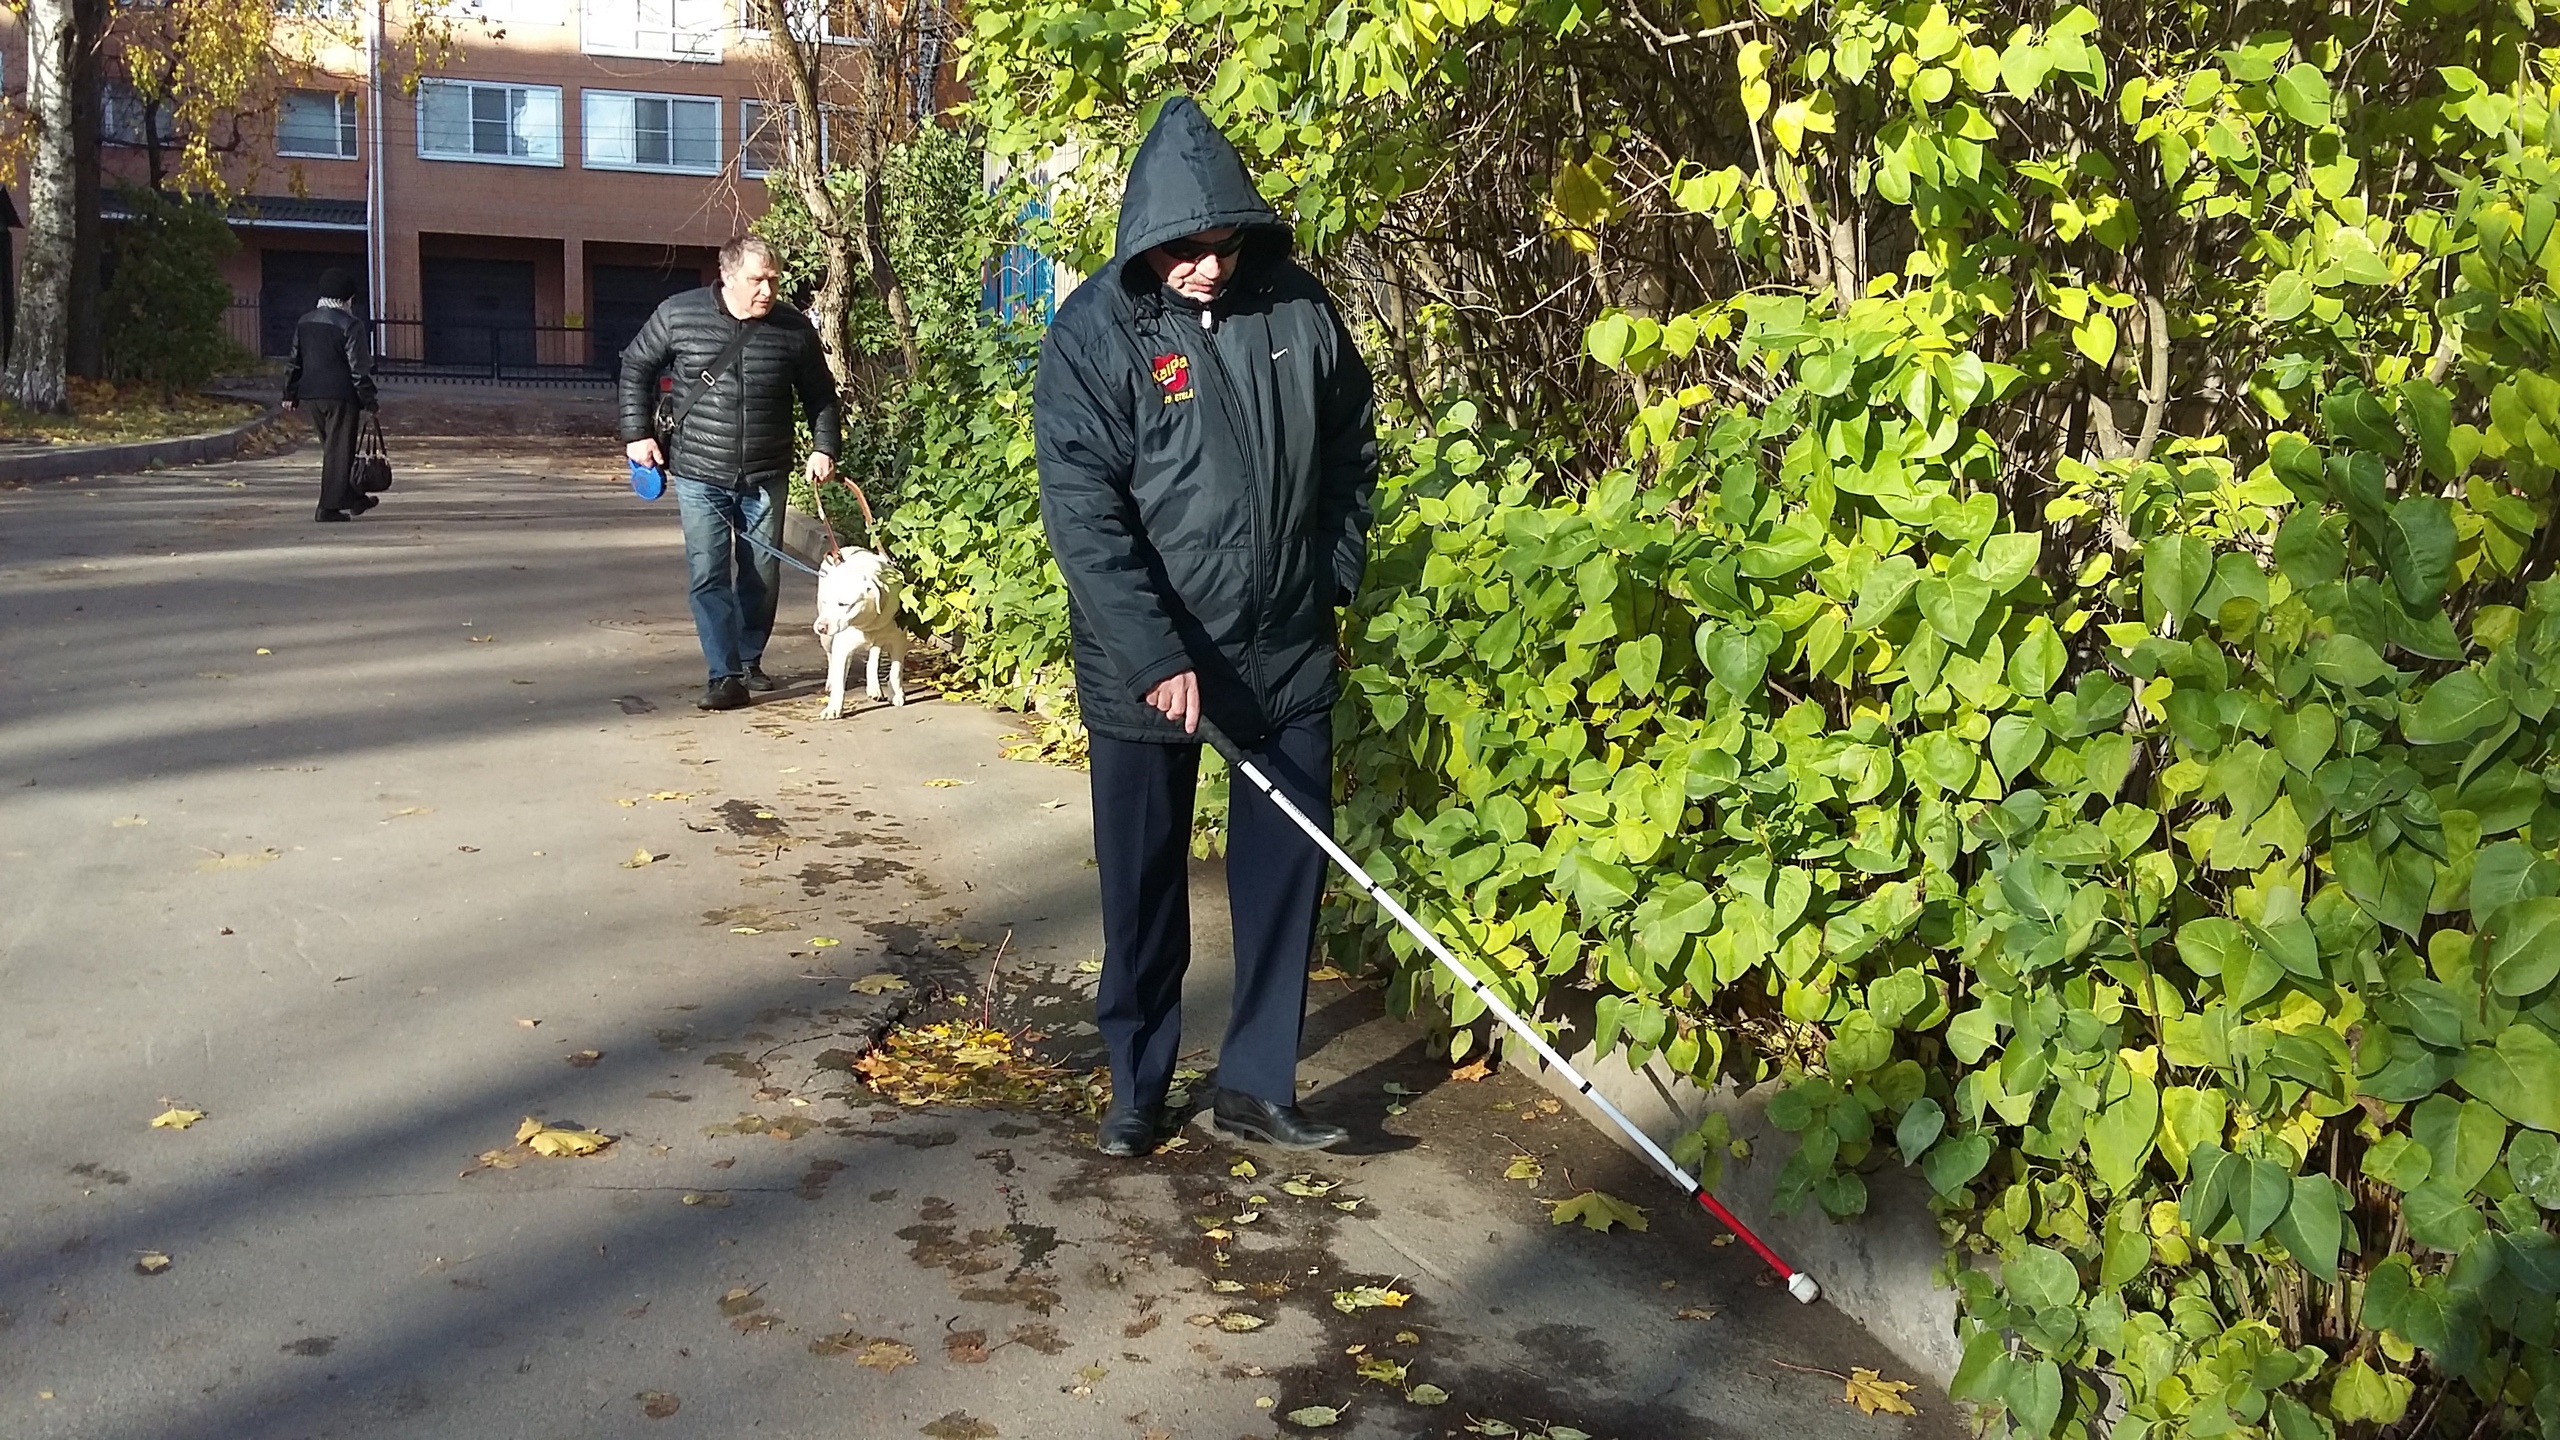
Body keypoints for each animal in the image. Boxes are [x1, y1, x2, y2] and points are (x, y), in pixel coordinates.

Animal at [819, 543, 911, 712]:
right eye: (826, 602)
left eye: (843, 604)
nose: (820, 627)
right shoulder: (842, 646)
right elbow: (839, 679)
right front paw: (833, 708)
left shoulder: (898, 640)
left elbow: (896, 670)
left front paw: (896, 694)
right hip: (827, 639)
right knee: (831, 658)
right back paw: (831, 682)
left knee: (873, 658)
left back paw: (874, 688)